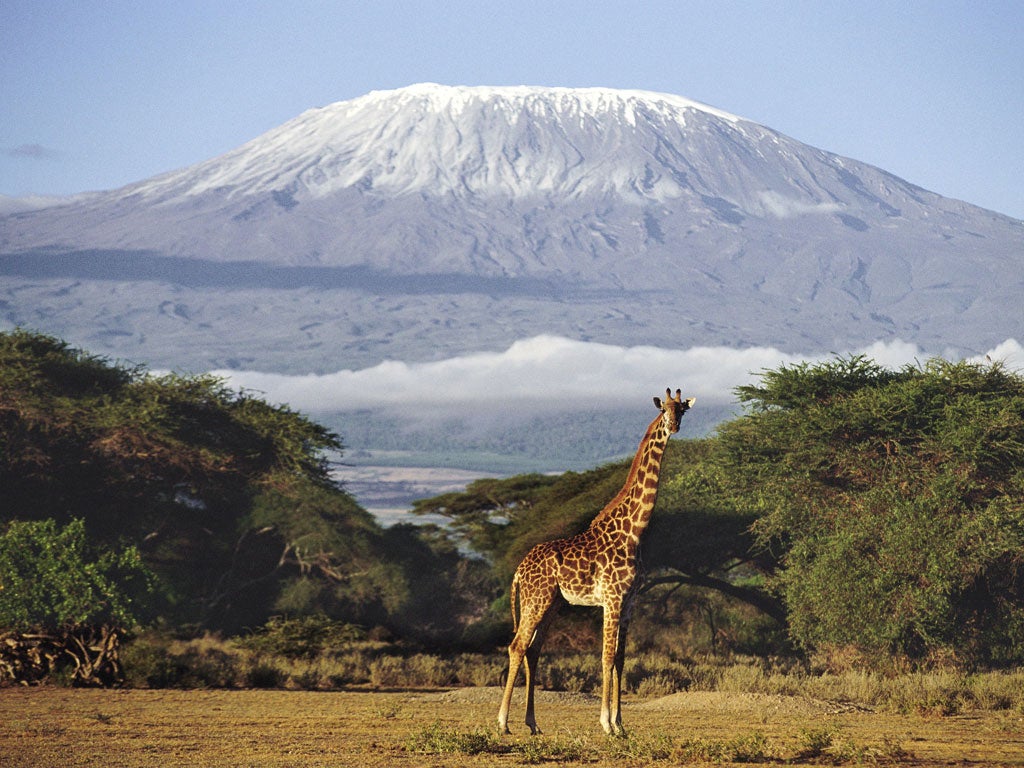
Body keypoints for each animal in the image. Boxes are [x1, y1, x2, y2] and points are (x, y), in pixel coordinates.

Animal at [497, 388, 695, 736]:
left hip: (552, 603)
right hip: (536, 600)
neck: (634, 532)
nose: (673, 426)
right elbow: (605, 657)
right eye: (665, 410)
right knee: (517, 646)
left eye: (682, 410)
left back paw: (533, 723)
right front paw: (606, 723)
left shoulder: (629, 602)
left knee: (534, 649)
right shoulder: (612, 599)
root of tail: (519, 570)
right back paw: (503, 722)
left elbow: (621, 659)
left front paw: (621, 725)